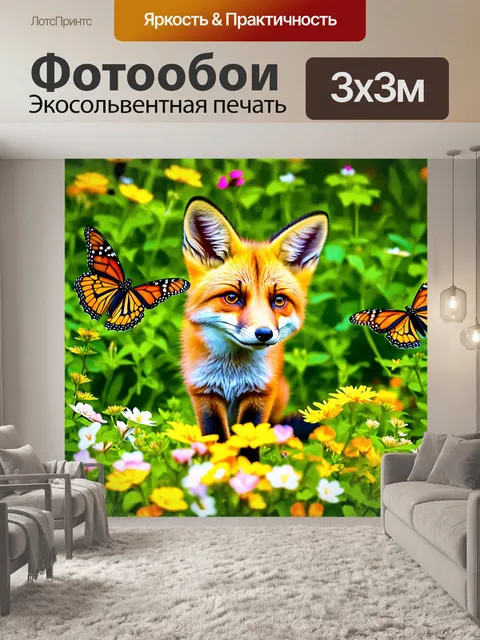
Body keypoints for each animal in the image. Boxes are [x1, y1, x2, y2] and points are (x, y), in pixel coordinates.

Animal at [181, 197, 328, 453]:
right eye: (232, 298)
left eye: (279, 301)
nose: (264, 333)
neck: (232, 373)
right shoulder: (203, 392)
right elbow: (217, 439)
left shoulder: (259, 393)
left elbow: (250, 442)